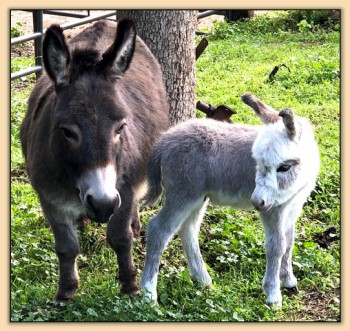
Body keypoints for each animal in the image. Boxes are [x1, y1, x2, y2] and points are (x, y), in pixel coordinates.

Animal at [140, 92, 320, 306]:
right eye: (256, 162)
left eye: (284, 167)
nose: (257, 202)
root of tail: (164, 140)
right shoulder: (273, 210)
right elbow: (277, 246)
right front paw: (273, 296)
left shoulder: (292, 206)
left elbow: (290, 241)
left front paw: (289, 281)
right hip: (182, 195)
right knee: (158, 230)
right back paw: (148, 294)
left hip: (197, 197)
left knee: (188, 229)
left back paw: (202, 280)